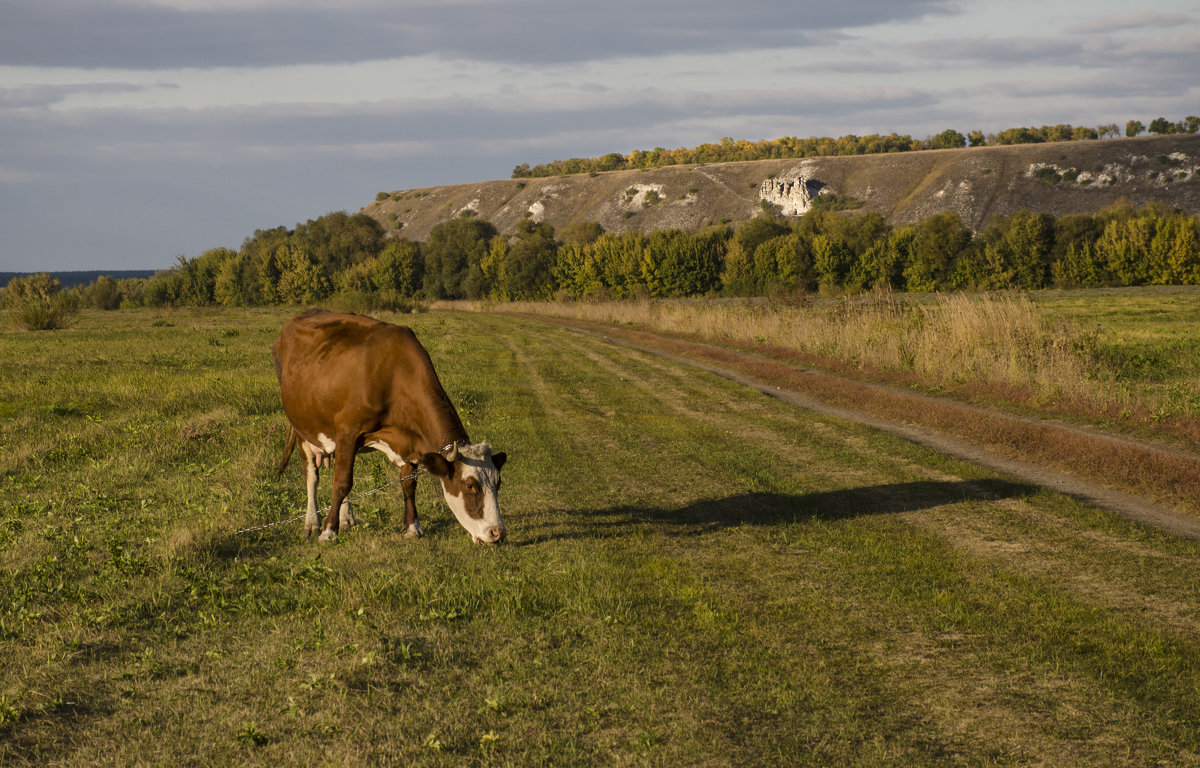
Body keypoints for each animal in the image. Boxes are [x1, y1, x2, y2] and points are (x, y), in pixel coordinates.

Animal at [272, 309, 506, 542]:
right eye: (469, 485)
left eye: (498, 483)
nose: (497, 532)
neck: (396, 374)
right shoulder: (348, 431)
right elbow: (342, 482)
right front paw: (328, 530)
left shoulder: (409, 440)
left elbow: (408, 483)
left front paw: (412, 527)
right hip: (301, 424)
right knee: (312, 474)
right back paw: (312, 522)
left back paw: (347, 518)